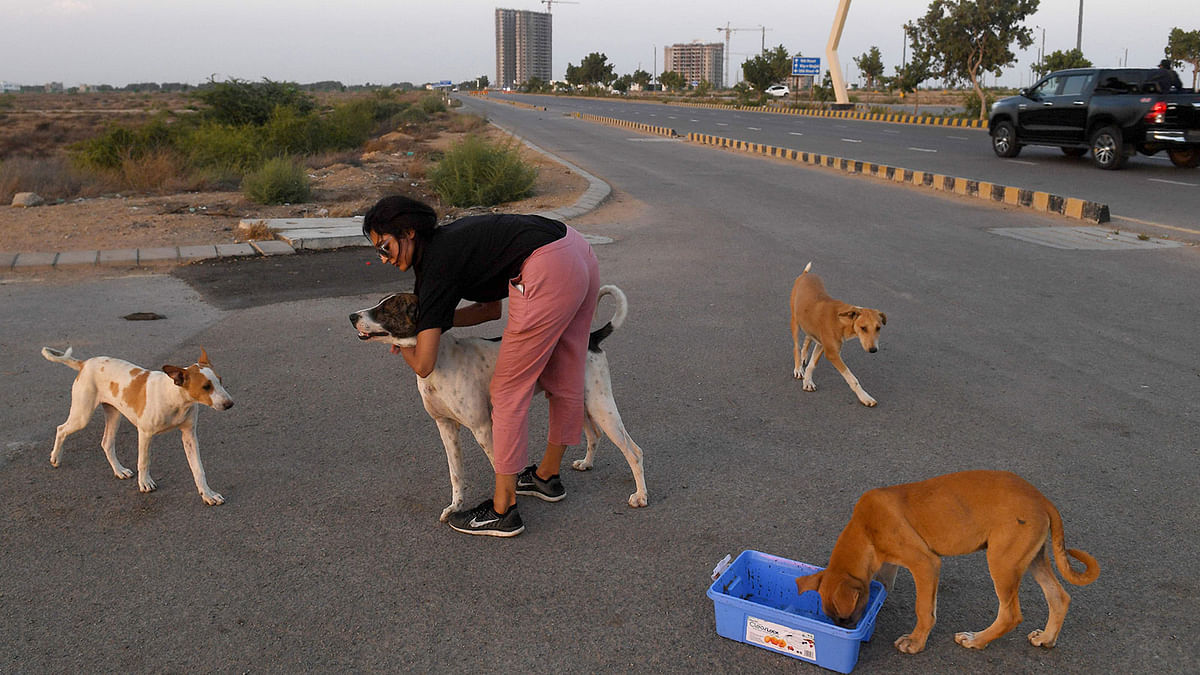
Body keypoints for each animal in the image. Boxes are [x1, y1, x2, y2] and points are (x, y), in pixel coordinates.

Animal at [42, 343, 231, 502]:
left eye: (220, 380)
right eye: (206, 387)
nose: (230, 404)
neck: (175, 397)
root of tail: (85, 363)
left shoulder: (189, 435)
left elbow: (198, 468)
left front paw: (207, 494)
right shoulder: (145, 433)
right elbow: (144, 460)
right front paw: (145, 483)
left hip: (114, 415)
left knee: (106, 443)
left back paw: (119, 470)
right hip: (82, 415)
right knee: (61, 429)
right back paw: (55, 457)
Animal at [796, 468, 1099, 653]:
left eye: (845, 618)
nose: (847, 632)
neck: (864, 528)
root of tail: (1042, 498)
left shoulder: (926, 563)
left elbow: (923, 608)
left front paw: (915, 642)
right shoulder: (887, 565)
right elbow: (884, 588)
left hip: (1002, 561)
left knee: (1011, 613)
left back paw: (976, 640)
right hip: (1032, 557)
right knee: (1059, 597)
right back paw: (1047, 638)